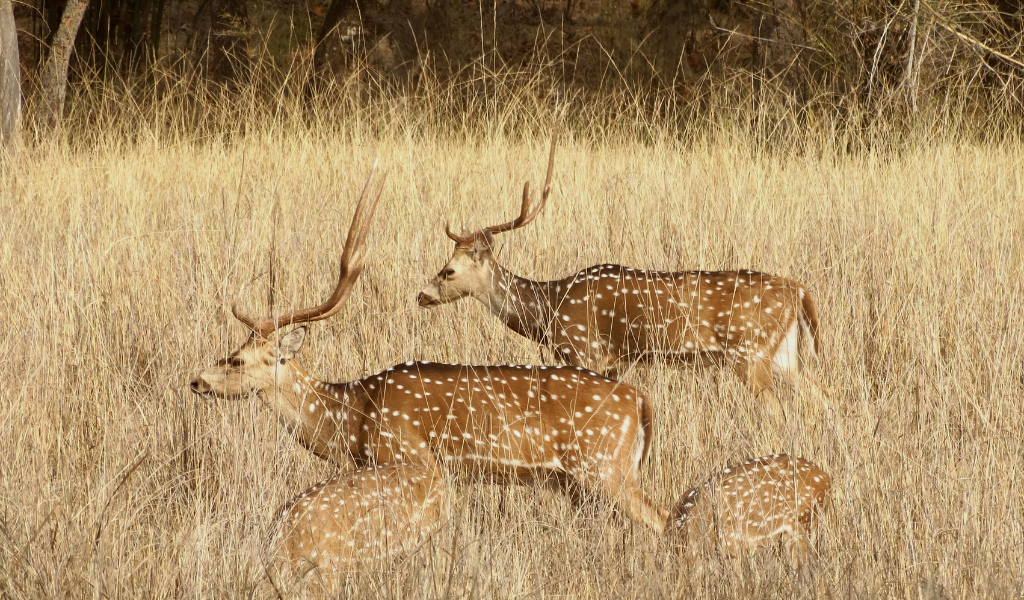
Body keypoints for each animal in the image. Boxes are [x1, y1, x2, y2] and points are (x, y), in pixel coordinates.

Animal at [188, 165, 669, 533]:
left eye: (236, 359)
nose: (196, 380)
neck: (353, 419)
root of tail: (641, 401)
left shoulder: (410, 457)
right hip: (582, 479)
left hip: (603, 466)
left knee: (662, 518)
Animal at [416, 130, 821, 416]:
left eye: (448, 271)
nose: (422, 295)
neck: (549, 309)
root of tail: (799, 291)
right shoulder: (614, 365)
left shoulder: (585, 351)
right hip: (784, 354)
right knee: (819, 398)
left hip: (750, 352)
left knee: (777, 409)